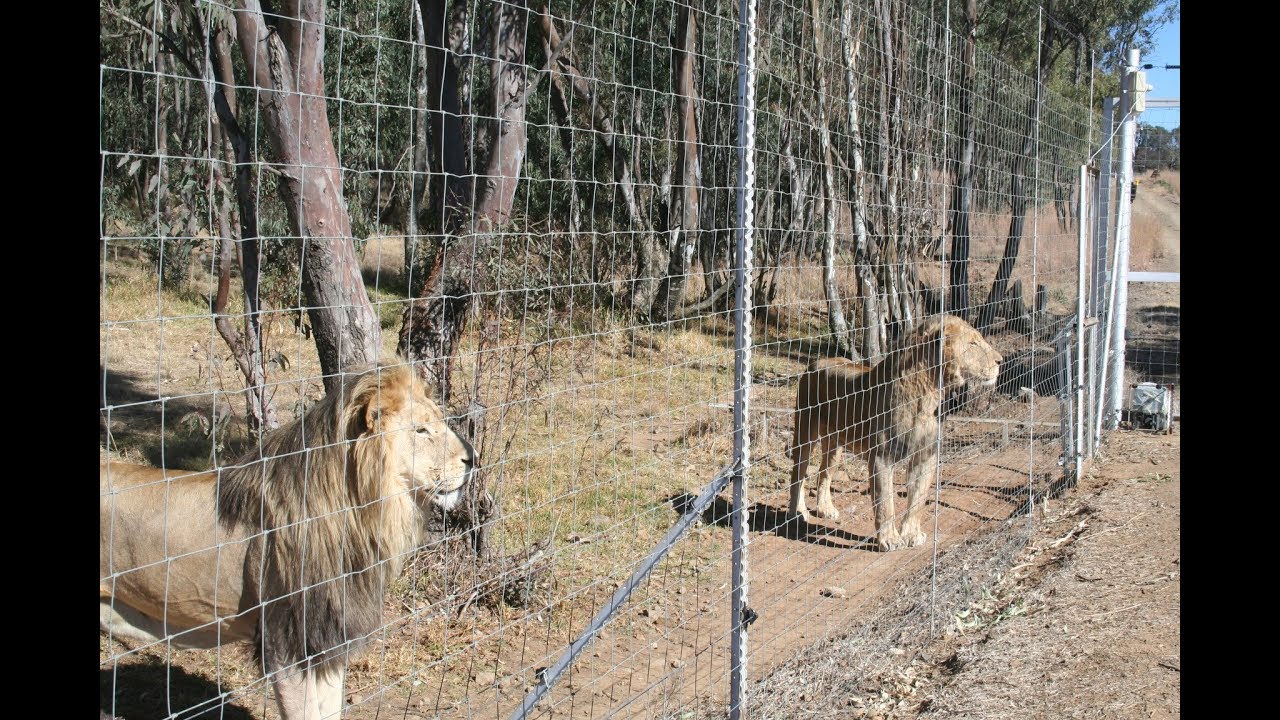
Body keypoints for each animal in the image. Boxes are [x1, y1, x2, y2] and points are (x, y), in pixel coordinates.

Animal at [787, 314, 1002, 551]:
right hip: (805, 432)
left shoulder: (925, 455)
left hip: (835, 444)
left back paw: (826, 509)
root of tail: (815, 363)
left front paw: (911, 534)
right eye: (973, 343)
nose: (1001, 361)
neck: (928, 394)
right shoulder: (882, 457)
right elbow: (885, 501)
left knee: (824, 473)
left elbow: (918, 498)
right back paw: (797, 513)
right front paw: (890, 539)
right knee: (798, 474)